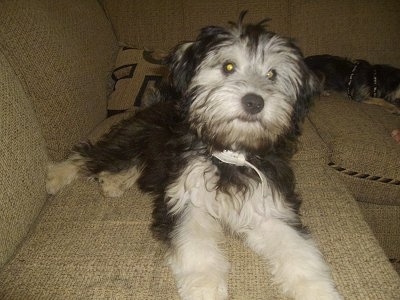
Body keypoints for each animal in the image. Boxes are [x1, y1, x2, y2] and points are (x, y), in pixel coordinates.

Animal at [46, 12, 340, 300]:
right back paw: (54, 177)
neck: (229, 153)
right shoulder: (186, 201)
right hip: (130, 139)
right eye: (228, 67)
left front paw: (318, 290)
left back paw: (112, 182)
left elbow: (299, 252)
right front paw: (205, 288)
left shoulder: (270, 204)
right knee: (89, 154)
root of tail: (157, 102)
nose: (254, 101)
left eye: (272, 74)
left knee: (138, 165)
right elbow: (197, 250)